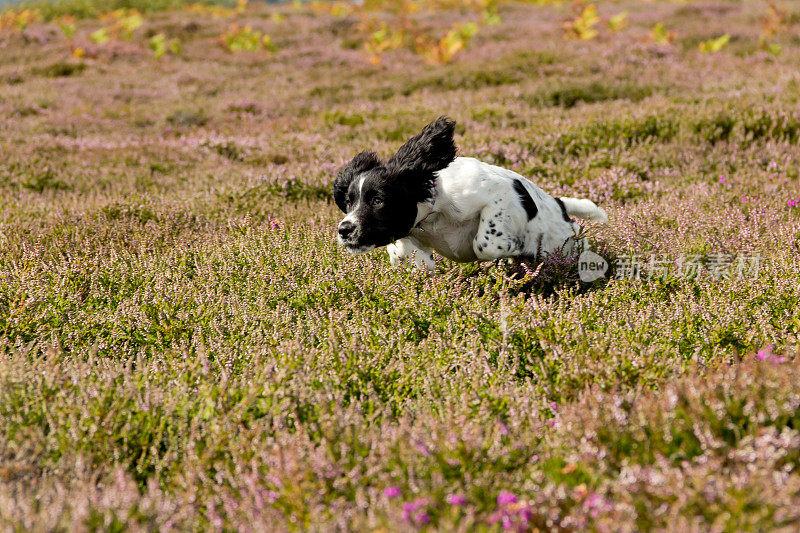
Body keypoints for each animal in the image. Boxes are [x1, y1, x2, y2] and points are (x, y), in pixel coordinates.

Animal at [332, 118, 608, 272]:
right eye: (348, 202)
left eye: (378, 201)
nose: (344, 229)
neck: (434, 212)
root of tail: (560, 204)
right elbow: (404, 251)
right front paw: (415, 259)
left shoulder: (497, 193)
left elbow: (485, 243)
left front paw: (513, 246)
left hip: (560, 245)